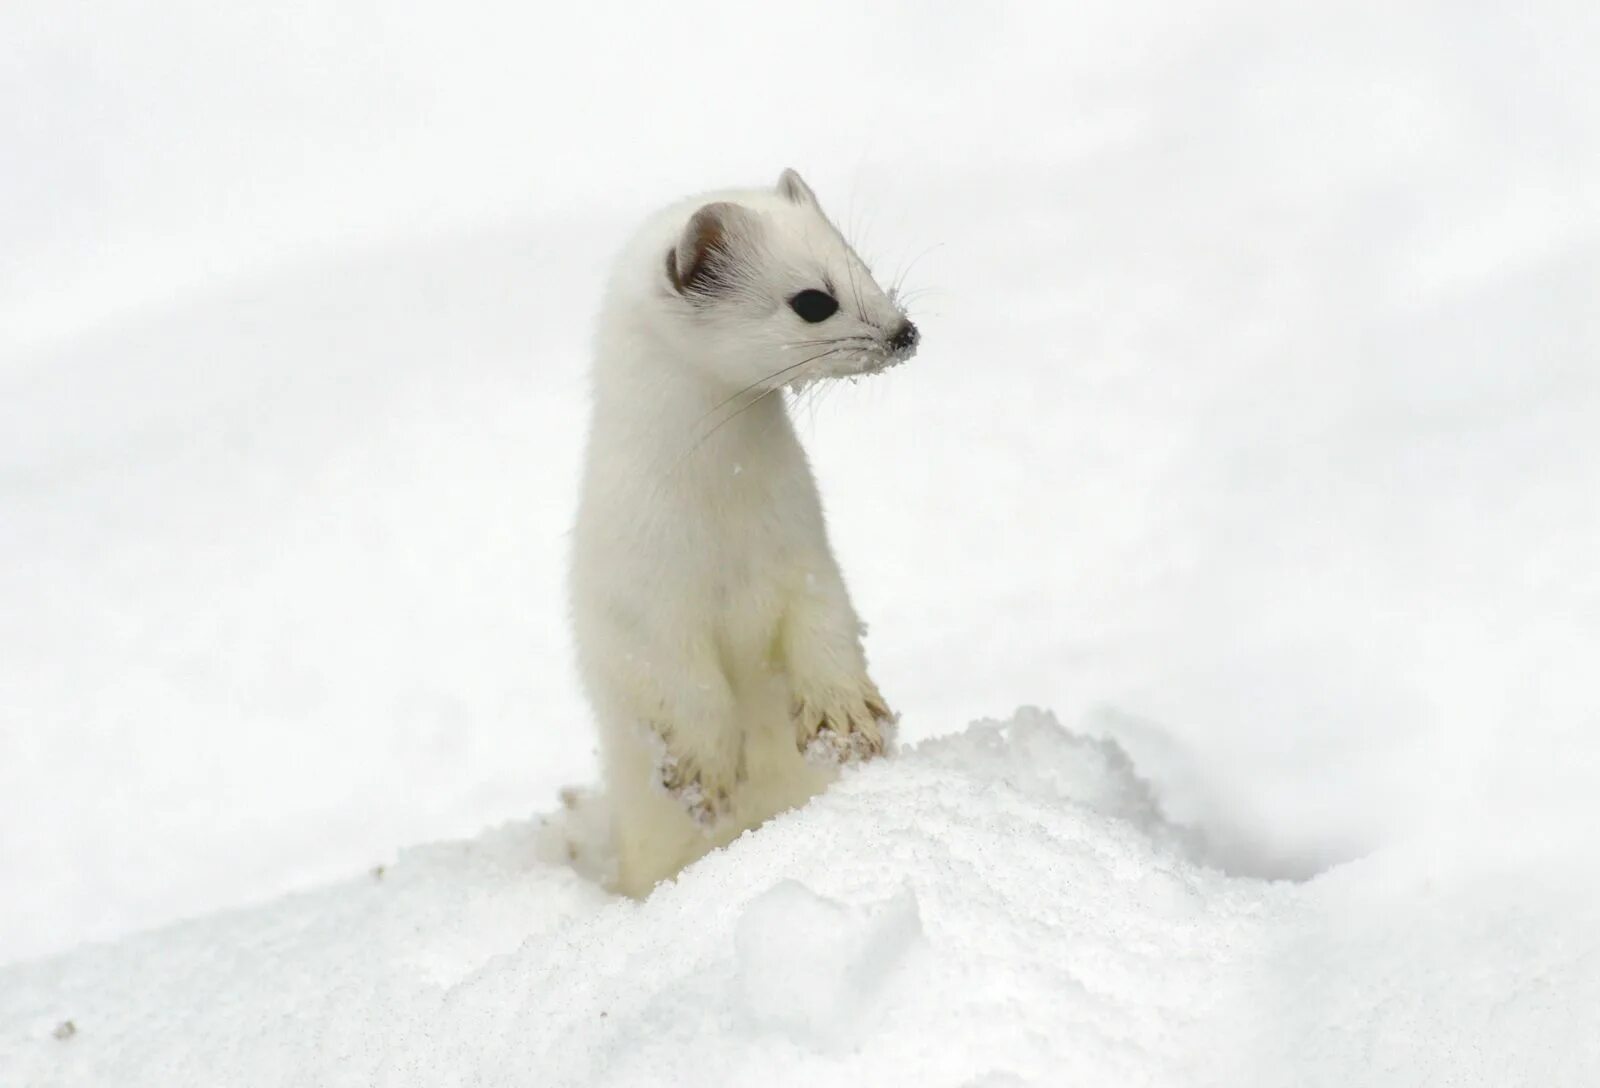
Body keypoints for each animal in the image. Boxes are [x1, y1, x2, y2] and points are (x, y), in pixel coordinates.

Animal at [569, 168, 921, 889]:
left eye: (862, 264)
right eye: (813, 300)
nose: (905, 332)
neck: (724, 518)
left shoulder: (804, 546)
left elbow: (826, 625)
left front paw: (846, 718)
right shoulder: (638, 596)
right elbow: (681, 681)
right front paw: (705, 772)